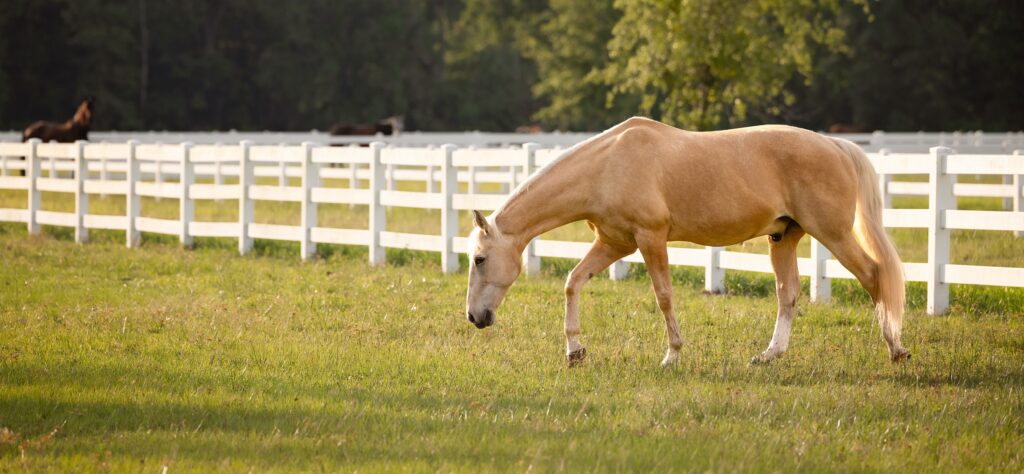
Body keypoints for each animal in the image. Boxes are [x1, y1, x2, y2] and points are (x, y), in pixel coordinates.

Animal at [465, 116, 908, 368]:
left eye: (480, 259)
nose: (474, 317)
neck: (607, 166)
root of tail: (835, 145)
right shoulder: (614, 244)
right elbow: (573, 282)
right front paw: (575, 351)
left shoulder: (650, 240)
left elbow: (664, 296)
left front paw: (672, 355)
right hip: (784, 237)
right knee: (789, 294)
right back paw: (769, 356)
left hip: (833, 233)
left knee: (874, 276)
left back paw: (895, 349)